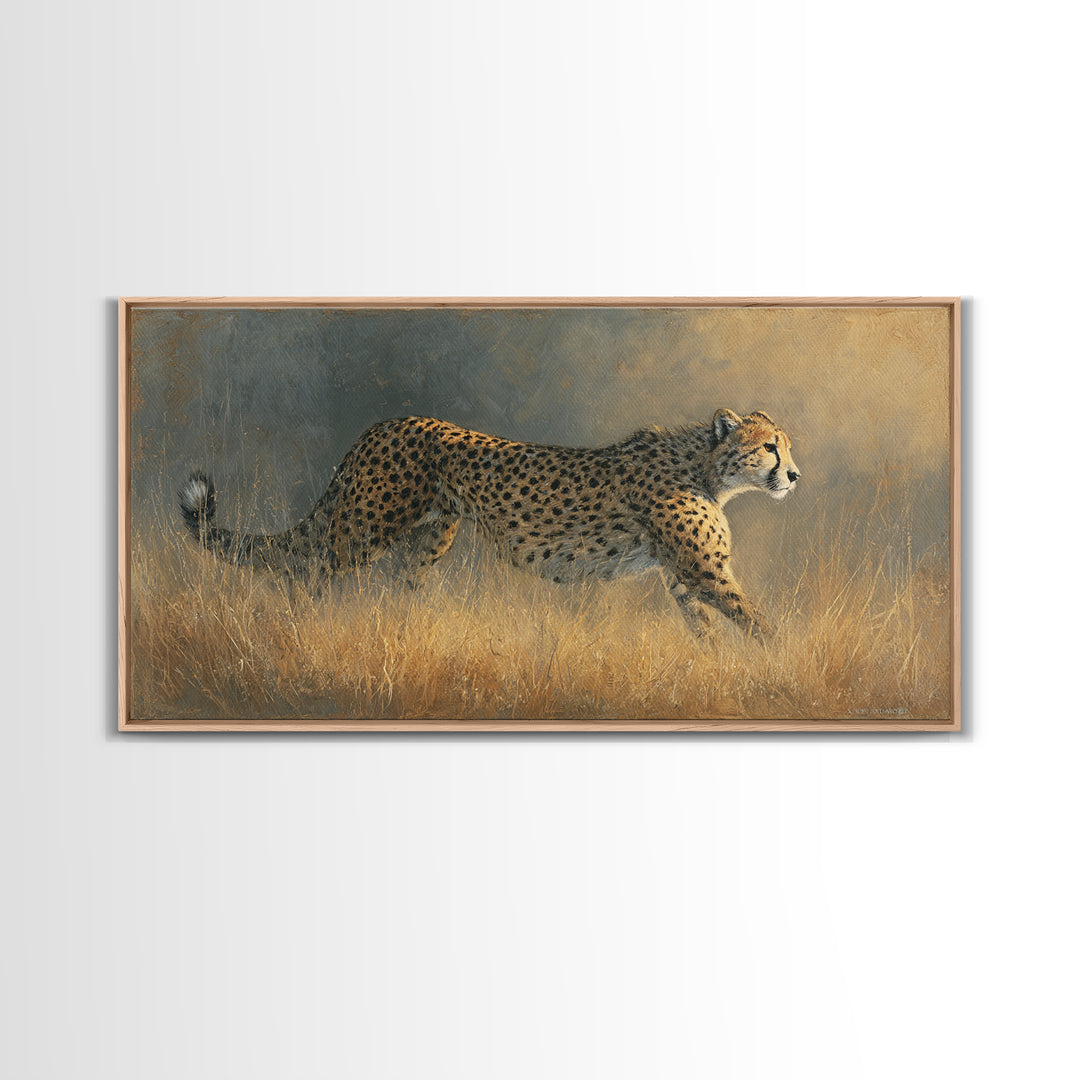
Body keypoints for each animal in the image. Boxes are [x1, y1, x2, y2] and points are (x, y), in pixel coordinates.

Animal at [178, 408, 800, 640]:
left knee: (399, 590)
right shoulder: (705, 571)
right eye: (771, 446)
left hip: (428, 541)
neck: (705, 466)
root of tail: (386, 422)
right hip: (360, 530)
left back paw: (410, 635)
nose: (794, 476)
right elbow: (758, 623)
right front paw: (782, 666)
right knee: (303, 573)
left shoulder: (683, 576)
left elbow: (707, 630)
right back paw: (295, 633)